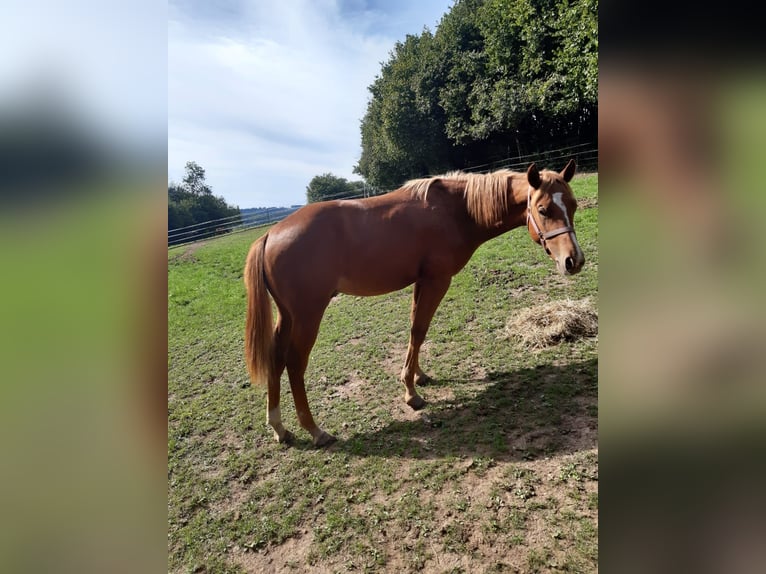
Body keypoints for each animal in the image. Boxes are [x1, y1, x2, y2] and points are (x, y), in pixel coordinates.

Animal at [244, 160, 584, 446]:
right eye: (543, 209)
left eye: (573, 205)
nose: (574, 261)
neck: (457, 211)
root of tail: (270, 235)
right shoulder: (436, 281)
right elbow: (420, 329)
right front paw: (411, 392)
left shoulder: (422, 283)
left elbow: (415, 331)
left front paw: (418, 376)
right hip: (307, 316)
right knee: (295, 364)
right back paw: (314, 430)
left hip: (287, 317)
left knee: (275, 357)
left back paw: (279, 427)